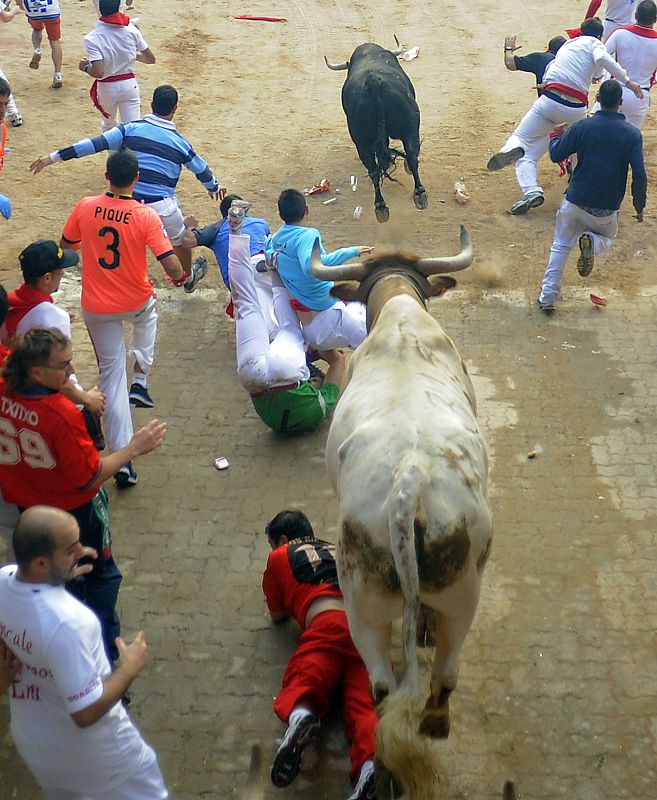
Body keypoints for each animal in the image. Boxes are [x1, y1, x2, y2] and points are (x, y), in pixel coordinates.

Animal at [310, 228, 490, 752]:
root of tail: (411, 475)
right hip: (454, 597)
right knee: (436, 675)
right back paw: (433, 724)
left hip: (367, 603)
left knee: (389, 684)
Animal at [326, 39, 428, 222]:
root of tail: (373, 82)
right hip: (408, 128)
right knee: (410, 157)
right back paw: (413, 195)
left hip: (364, 142)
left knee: (377, 168)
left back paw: (382, 205)